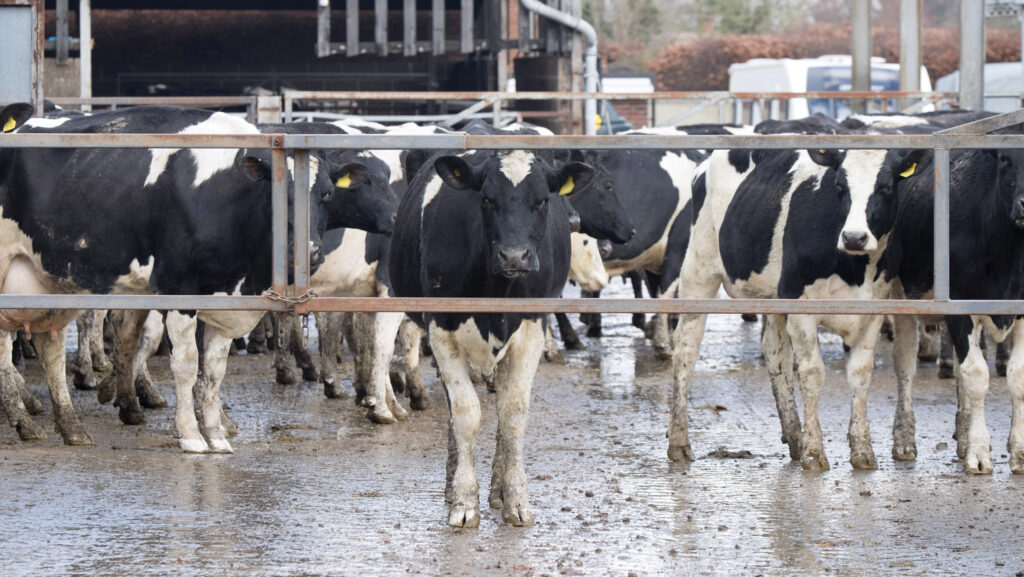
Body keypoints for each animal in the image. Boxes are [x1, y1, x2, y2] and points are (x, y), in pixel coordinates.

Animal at [0, 104, 335, 450]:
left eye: (326, 194)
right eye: (279, 194)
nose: (309, 250)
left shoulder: (225, 299)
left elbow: (214, 370)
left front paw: (215, 435)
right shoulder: (178, 286)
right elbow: (187, 364)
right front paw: (191, 435)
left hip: (49, 279)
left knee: (50, 348)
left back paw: (71, 427)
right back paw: (25, 419)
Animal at [389, 145, 598, 528]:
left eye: (543, 200)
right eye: (486, 199)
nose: (514, 255)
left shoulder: (532, 329)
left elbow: (512, 413)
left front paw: (516, 498)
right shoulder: (441, 330)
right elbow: (465, 414)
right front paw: (463, 501)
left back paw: (498, 489)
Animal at [667, 117, 933, 469]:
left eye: (886, 187)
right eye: (840, 187)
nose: (854, 236)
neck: (851, 266)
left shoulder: (873, 310)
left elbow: (860, 375)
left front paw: (862, 450)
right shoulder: (801, 305)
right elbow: (812, 374)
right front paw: (815, 452)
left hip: (773, 293)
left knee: (775, 352)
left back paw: (794, 436)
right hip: (699, 271)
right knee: (686, 347)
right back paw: (679, 442)